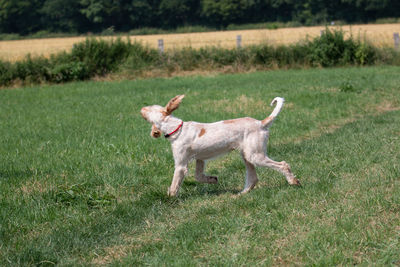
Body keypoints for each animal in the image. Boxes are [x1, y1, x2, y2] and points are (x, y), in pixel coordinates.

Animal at [141, 96, 300, 197]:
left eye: (151, 108)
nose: (141, 108)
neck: (177, 128)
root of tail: (261, 123)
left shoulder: (181, 165)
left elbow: (174, 185)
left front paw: (170, 198)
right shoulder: (200, 159)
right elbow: (199, 176)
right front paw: (213, 179)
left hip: (256, 156)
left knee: (283, 164)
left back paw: (293, 182)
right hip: (247, 155)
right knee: (253, 178)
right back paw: (242, 193)